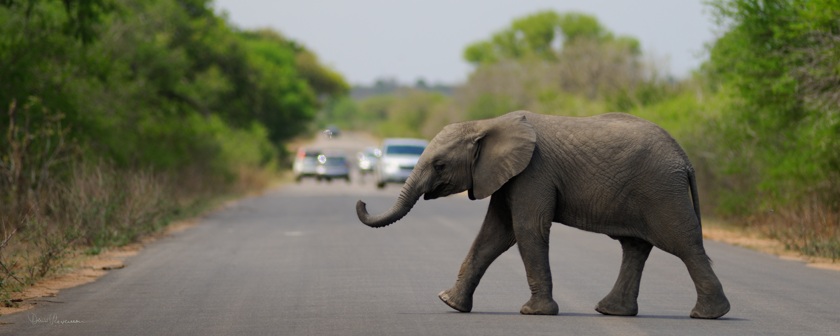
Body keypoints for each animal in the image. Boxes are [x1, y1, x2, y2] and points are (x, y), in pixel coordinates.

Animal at [354, 111, 728, 318]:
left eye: (440, 165)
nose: (360, 202)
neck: (487, 123)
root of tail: (685, 159)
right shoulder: (507, 175)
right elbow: (494, 234)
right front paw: (450, 304)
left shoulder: (533, 173)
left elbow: (526, 229)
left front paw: (534, 313)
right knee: (635, 247)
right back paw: (612, 311)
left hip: (661, 190)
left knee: (684, 244)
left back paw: (709, 315)